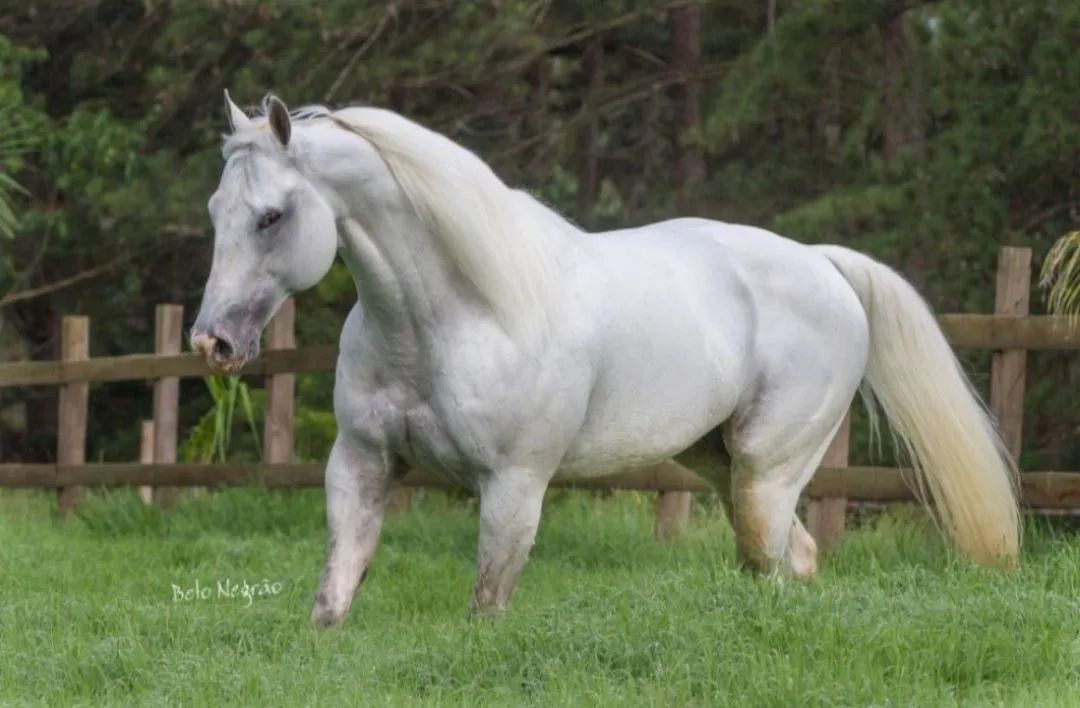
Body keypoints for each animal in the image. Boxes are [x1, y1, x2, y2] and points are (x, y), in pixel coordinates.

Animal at [191, 92, 1020, 627]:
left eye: (271, 216)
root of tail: (823, 264)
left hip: (766, 469)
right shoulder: (360, 464)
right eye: (216, 211)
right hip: (718, 462)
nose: (212, 343)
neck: (457, 316)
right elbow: (332, 599)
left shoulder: (515, 485)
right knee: (794, 560)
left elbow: (486, 607)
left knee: (772, 561)